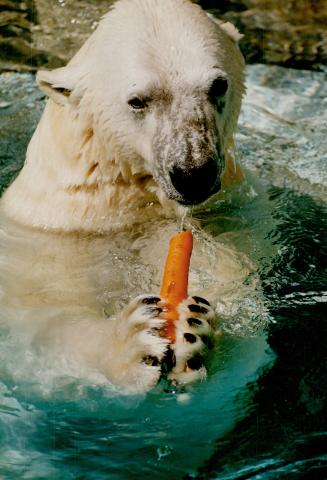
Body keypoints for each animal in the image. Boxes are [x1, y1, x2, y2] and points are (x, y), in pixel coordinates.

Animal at [0, 0, 246, 392]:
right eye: (137, 100)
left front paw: (193, 327)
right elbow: (46, 318)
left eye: (218, 85)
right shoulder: (55, 227)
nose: (194, 174)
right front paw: (133, 341)